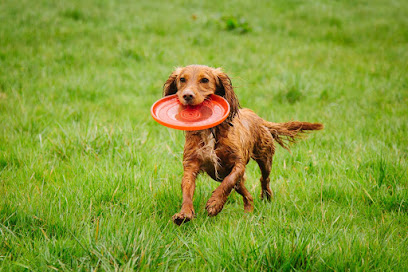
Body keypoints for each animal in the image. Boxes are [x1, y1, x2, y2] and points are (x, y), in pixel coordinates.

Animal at [161, 65, 324, 224]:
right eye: (182, 79)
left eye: (205, 80)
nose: (187, 96)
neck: (211, 131)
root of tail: (258, 118)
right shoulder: (191, 164)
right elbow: (187, 189)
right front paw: (184, 214)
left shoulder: (237, 164)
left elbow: (228, 182)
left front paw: (215, 203)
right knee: (248, 195)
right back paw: (248, 212)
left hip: (265, 158)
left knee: (264, 179)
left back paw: (266, 197)